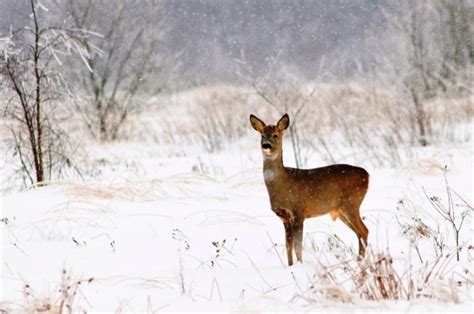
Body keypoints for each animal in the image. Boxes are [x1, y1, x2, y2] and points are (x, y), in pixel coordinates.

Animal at [250, 113, 368, 264]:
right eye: (262, 135)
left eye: (275, 135)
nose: (266, 145)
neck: (283, 184)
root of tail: (367, 175)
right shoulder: (284, 217)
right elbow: (288, 246)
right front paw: (290, 266)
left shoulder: (299, 212)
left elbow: (297, 246)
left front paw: (300, 265)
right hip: (342, 210)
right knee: (360, 232)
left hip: (351, 203)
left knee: (364, 230)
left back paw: (361, 262)